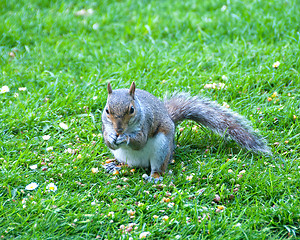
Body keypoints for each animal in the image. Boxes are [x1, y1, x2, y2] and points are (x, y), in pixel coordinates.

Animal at [101, 82, 272, 180]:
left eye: (131, 110)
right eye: (107, 110)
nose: (118, 129)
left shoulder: (146, 123)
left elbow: (140, 141)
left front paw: (125, 138)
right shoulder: (105, 125)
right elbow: (108, 141)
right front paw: (112, 137)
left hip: (162, 149)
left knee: (158, 168)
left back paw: (155, 176)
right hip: (123, 156)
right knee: (130, 165)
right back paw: (117, 166)